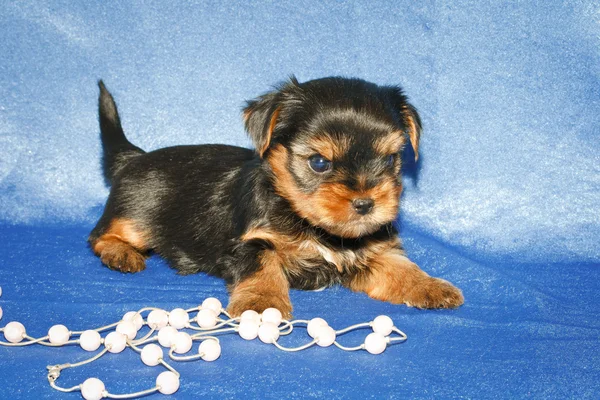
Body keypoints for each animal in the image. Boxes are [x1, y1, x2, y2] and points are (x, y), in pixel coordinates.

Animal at [89, 76, 464, 318]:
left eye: (389, 160)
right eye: (319, 162)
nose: (366, 203)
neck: (308, 221)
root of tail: (134, 157)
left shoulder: (373, 248)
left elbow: (400, 266)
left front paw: (430, 286)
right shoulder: (248, 241)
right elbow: (263, 264)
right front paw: (263, 303)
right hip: (135, 215)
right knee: (99, 235)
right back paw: (120, 253)